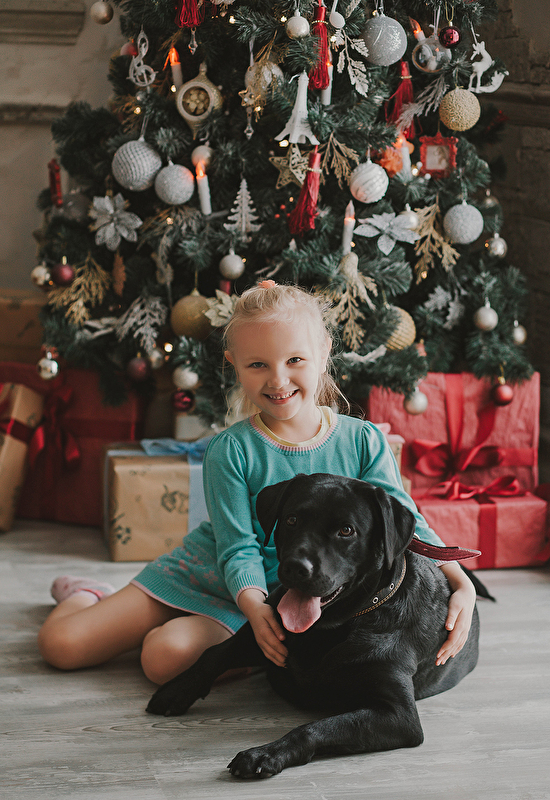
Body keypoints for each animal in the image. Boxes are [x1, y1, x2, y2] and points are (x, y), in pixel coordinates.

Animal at [147, 473, 480, 777]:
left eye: (346, 530)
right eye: (292, 519)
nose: (296, 567)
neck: (334, 627)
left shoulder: (399, 716)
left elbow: (316, 727)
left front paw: (265, 754)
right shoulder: (265, 629)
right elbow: (214, 653)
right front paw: (176, 691)